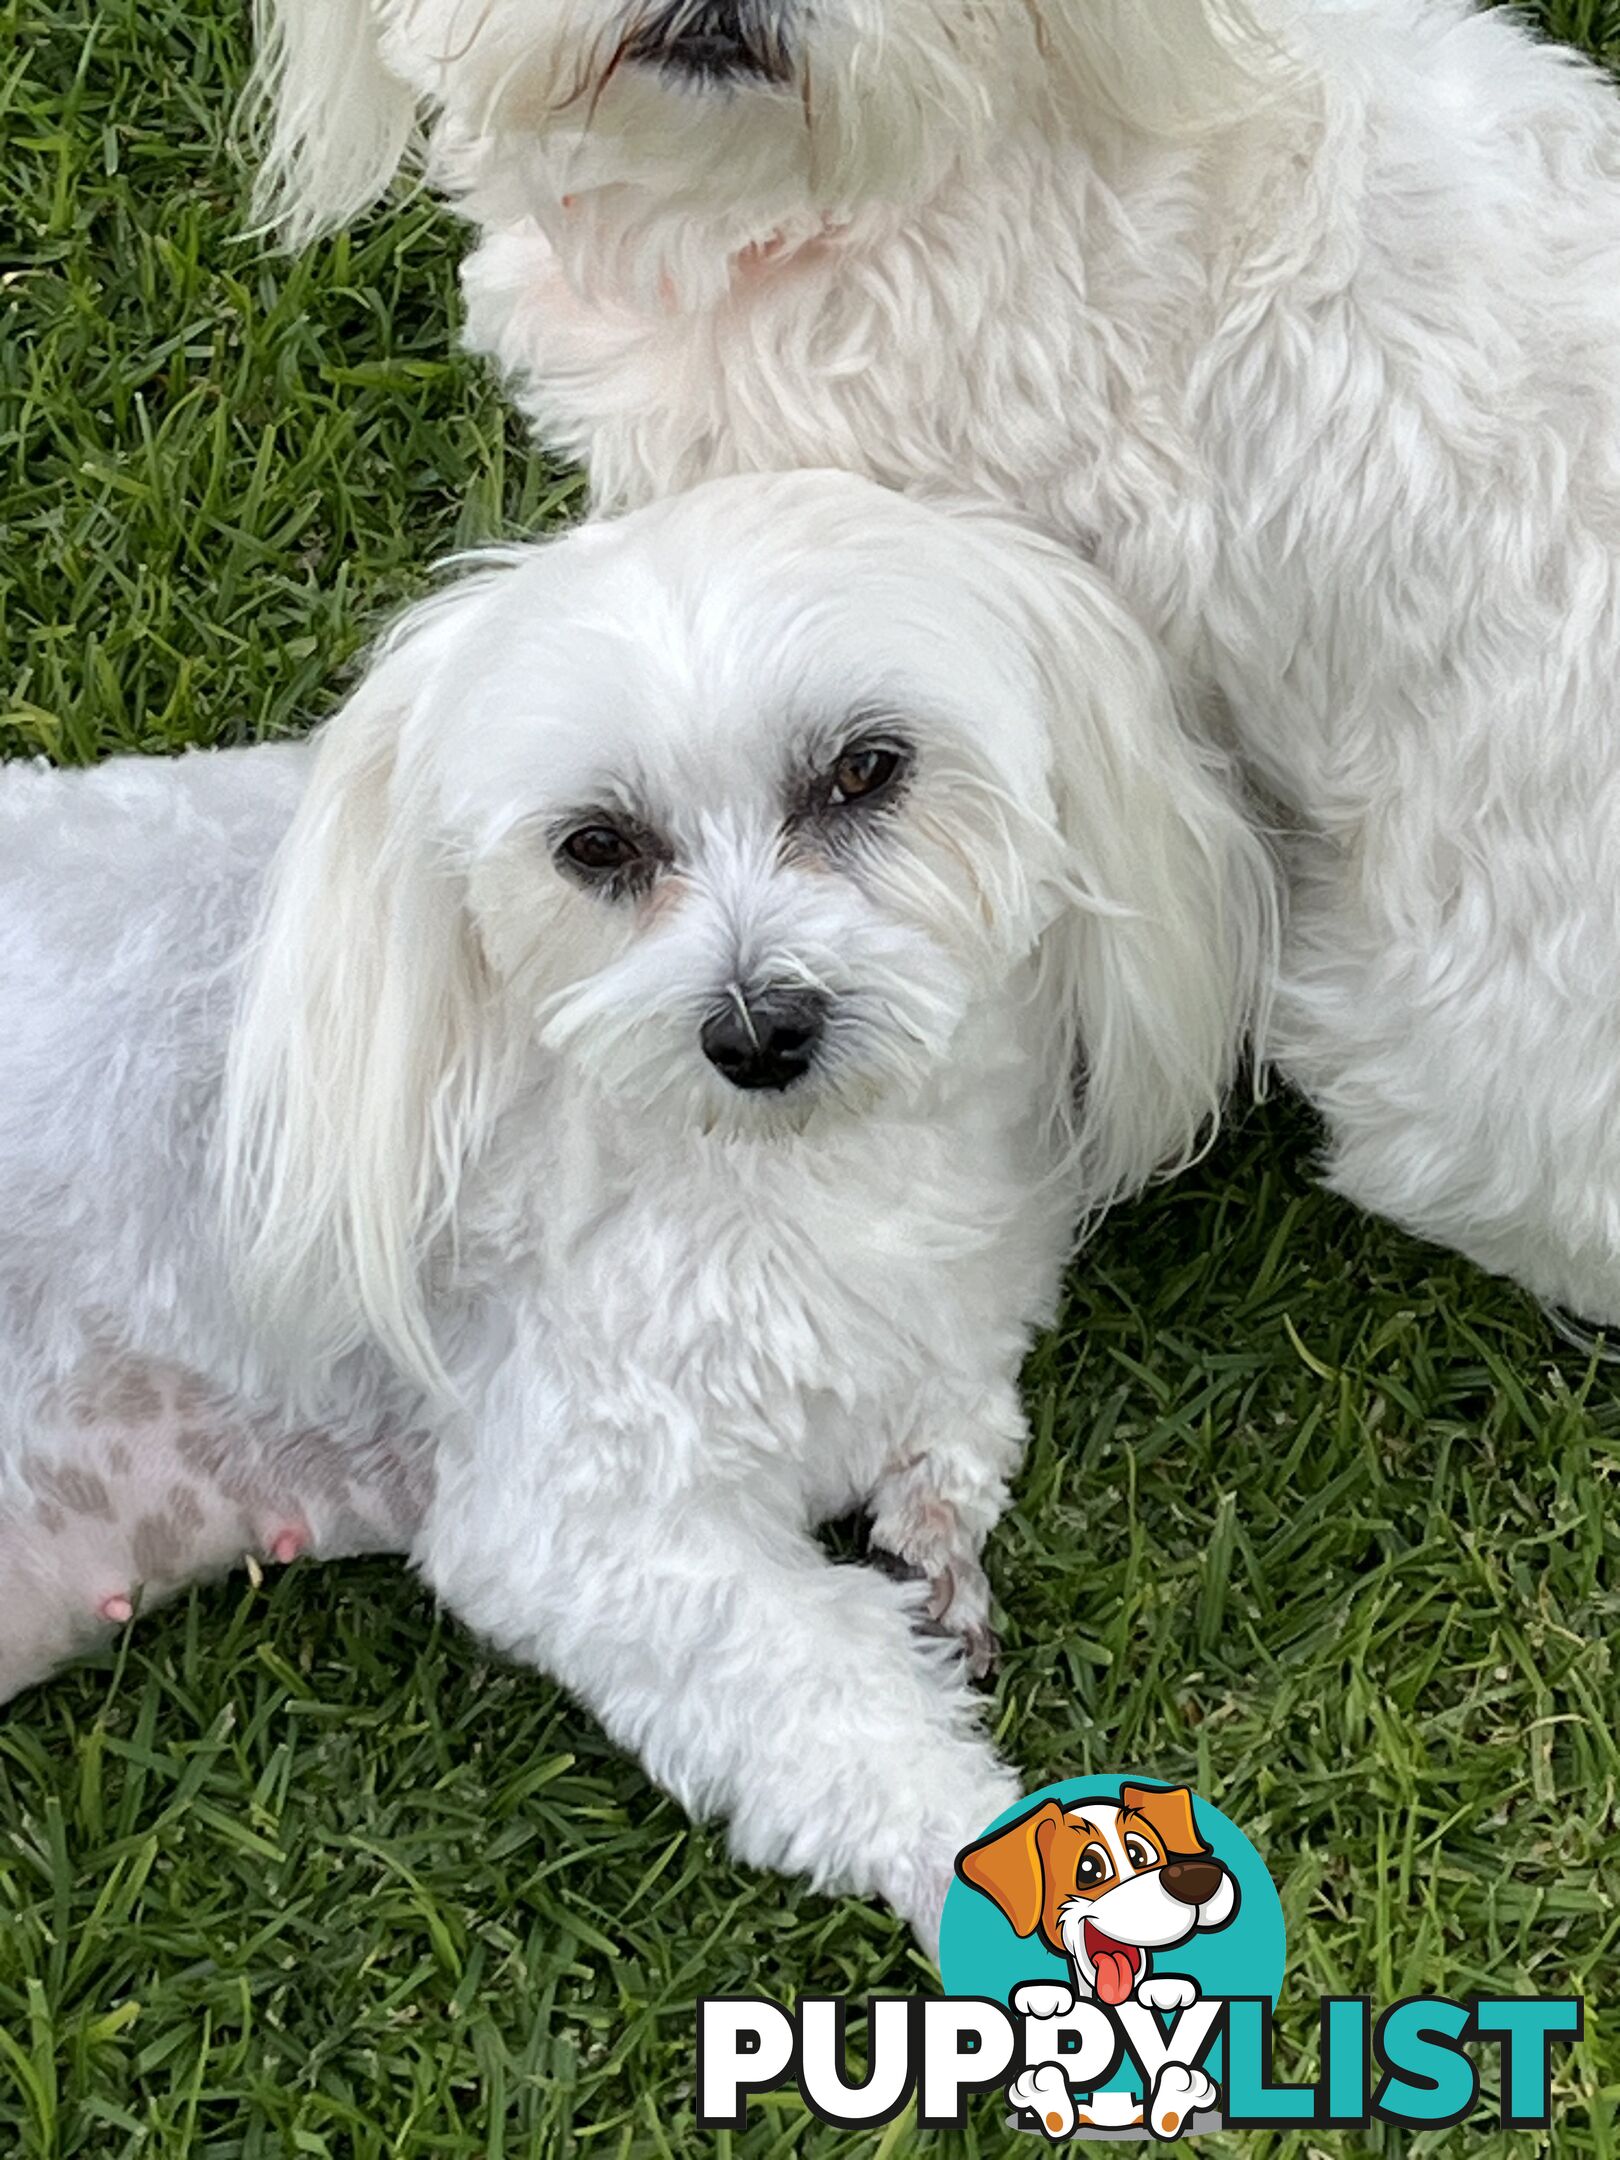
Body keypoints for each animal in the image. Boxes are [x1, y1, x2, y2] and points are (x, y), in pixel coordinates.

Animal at [0, 477, 1270, 1961]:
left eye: (866, 770)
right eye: (596, 846)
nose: (758, 1032)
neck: (803, 1164)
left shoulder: (954, 1300)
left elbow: (954, 1408)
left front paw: (934, 1516)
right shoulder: (587, 1515)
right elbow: (826, 1700)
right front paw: (984, 1866)